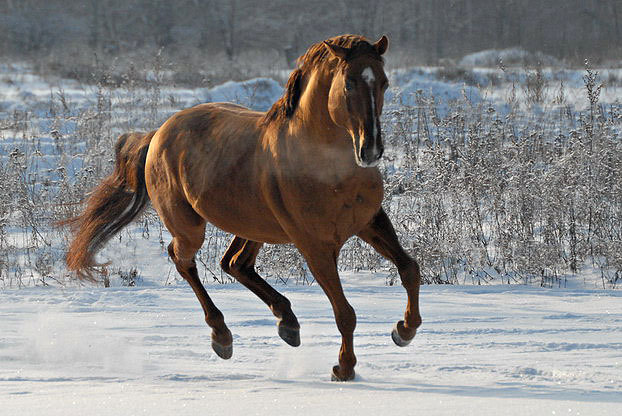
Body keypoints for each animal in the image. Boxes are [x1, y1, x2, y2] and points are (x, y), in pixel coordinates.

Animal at [64, 35, 424, 380]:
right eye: (348, 83)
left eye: (384, 82)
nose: (371, 149)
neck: (327, 167)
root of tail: (158, 134)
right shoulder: (315, 246)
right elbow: (345, 313)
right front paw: (344, 369)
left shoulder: (370, 222)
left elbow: (409, 269)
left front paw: (403, 331)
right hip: (190, 227)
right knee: (184, 260)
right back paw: (223, 337)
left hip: (254, 225)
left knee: (234, 263)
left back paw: (287, 323)